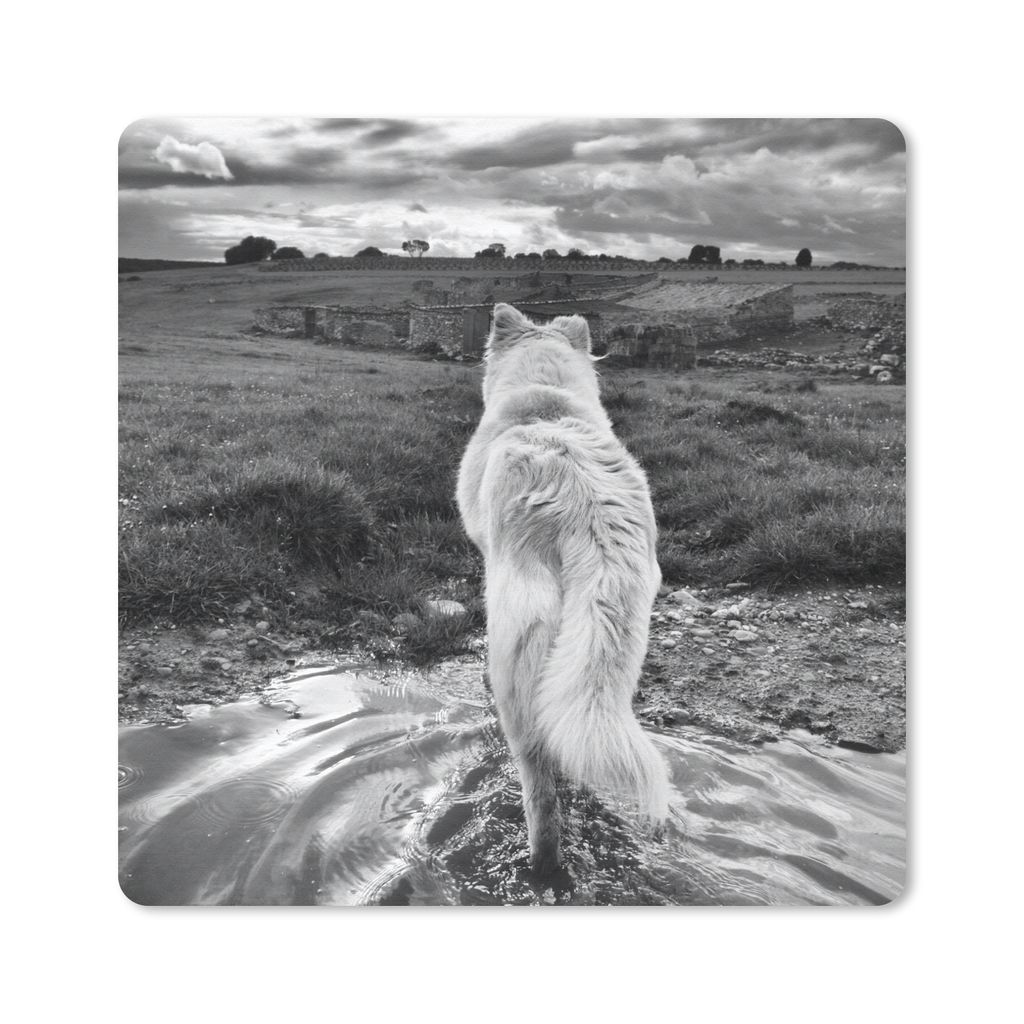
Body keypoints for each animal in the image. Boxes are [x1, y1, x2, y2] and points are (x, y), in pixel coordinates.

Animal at [456, 303, 669, 875]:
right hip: (609, 653)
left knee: (540, 786)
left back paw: (543, 868)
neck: (545, 401)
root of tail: (587, 510)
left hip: (518, 653)